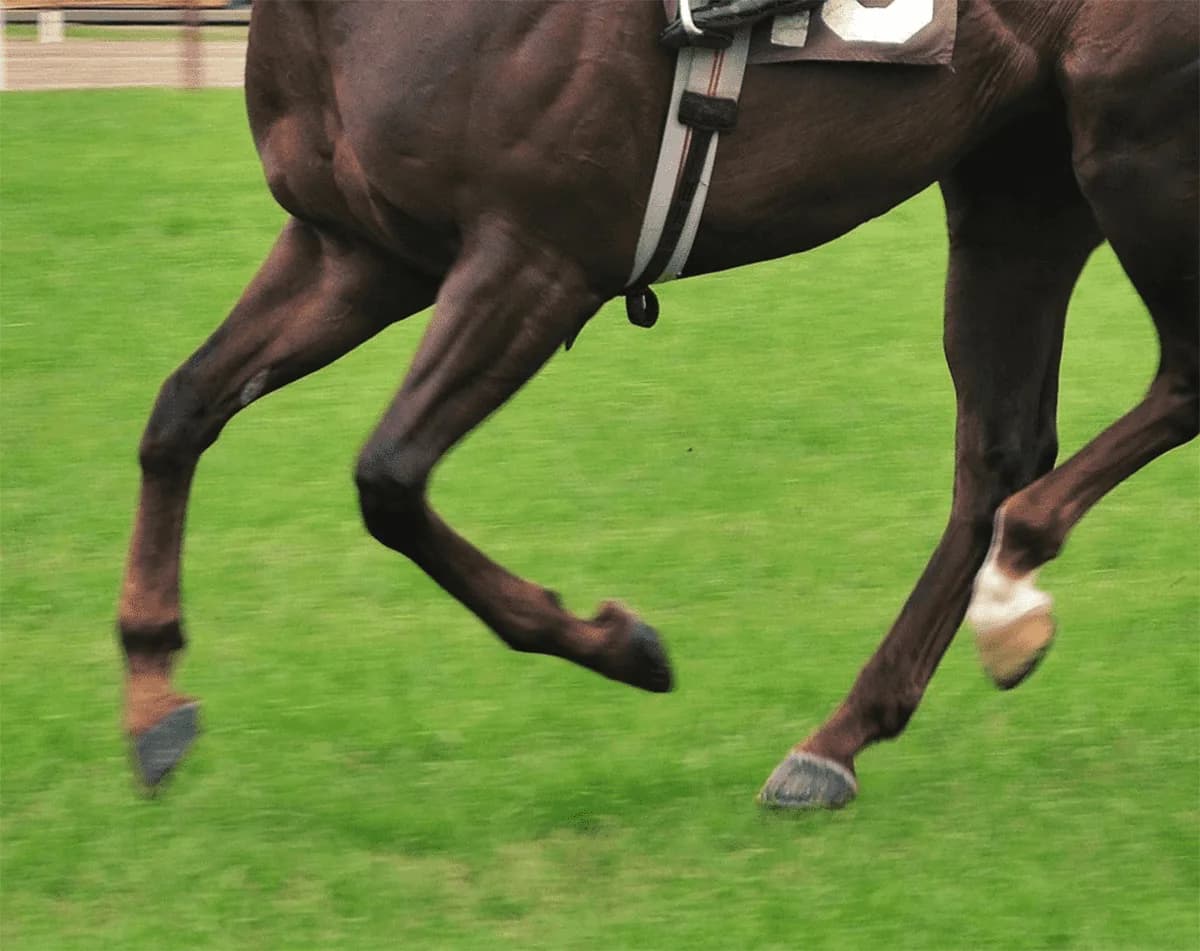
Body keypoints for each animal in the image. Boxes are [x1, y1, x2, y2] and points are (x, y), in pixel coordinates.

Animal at [117, 0, 1199, 806]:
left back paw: (1013, 587)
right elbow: (180, 411)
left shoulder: (534, 258)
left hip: (1138, 147)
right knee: (998, 454)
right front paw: (152, 701)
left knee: (1178, 381)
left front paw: (620, 644)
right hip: (1020, 189)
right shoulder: (356, 252)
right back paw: (838, 738)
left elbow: (388, 478)